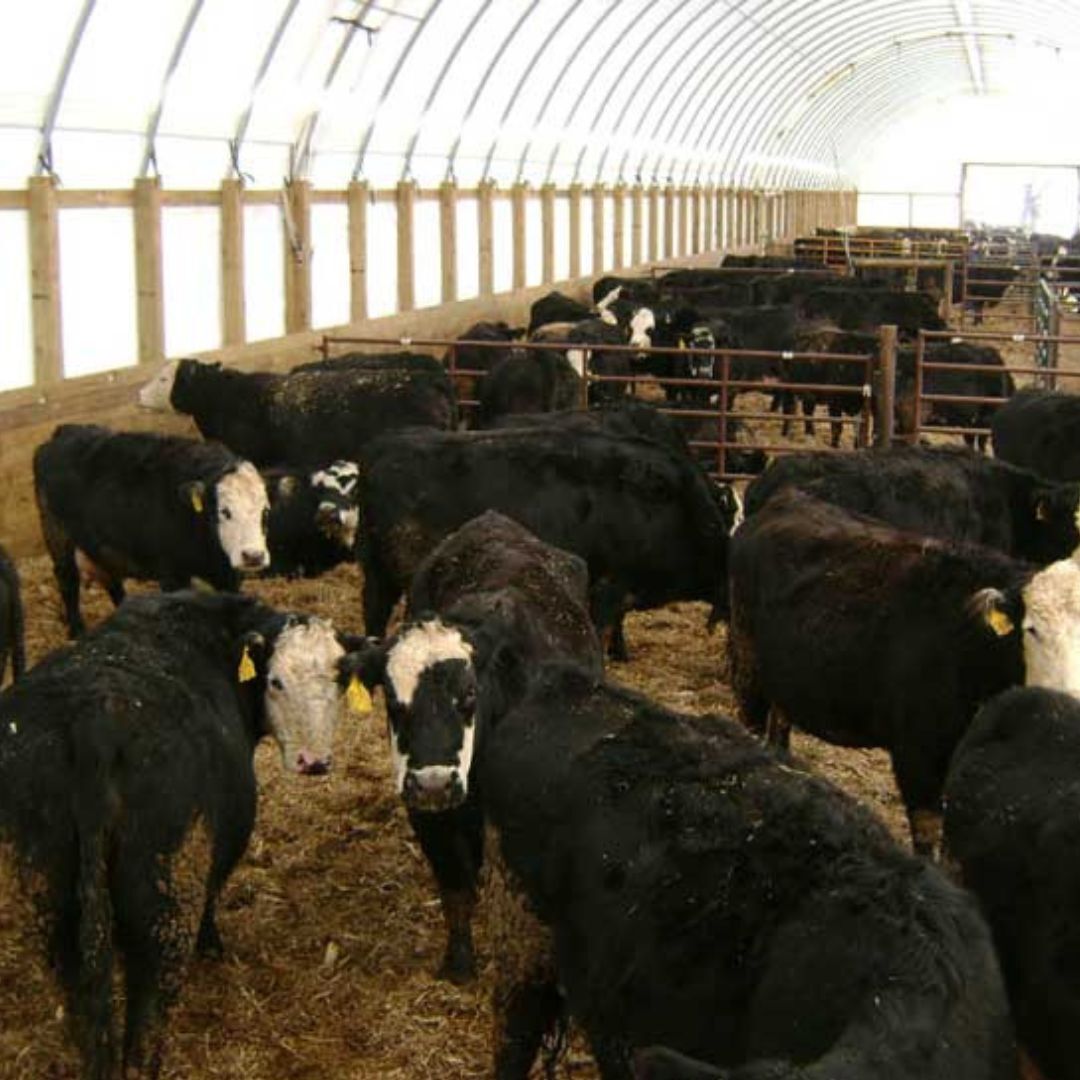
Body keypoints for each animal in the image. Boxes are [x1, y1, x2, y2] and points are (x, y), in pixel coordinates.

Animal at [0, 590, 369, 1079]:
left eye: (340, 680)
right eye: (275, 682)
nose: (315, 762)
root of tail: (94, 720)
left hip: (52, 905)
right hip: (166, 912)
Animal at [34, 424, 271, 638]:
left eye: (265, 511)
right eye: (224, 511)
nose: (253, 556)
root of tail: (64, 431)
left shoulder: (228, 575)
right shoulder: (172, 575)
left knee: (112, 581)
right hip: (56, 532)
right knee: (67, 578)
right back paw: (77, 630)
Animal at [351, 511, 602, 984]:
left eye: (468, 695)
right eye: (393, 701)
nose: (434, 784)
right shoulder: (427, 813)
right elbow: (455, 887)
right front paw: (459, 960)